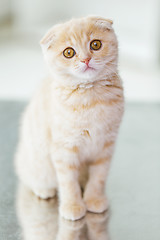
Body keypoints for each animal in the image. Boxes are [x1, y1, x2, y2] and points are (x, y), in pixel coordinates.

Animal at [15, 15, 124, 220]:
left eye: (95, 44)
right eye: (68, 52)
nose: (86, 59)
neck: (91, 99)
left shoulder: (105, 147)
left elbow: (98, 177)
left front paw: (95, 199)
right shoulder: (64, 148)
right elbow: (68, 182)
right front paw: (73, 206)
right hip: (37, 164)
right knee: (31, 178)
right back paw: (44, 190)